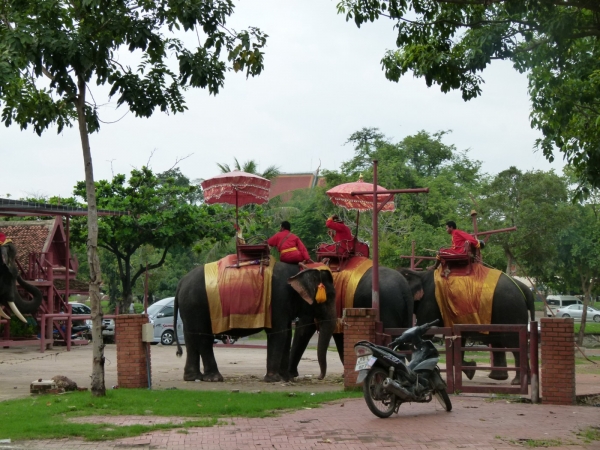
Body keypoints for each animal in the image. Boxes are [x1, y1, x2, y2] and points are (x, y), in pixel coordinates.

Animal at [175, 260, 338, 384]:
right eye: (330, 296)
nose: (319, 377)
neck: (298, 271)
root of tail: (181, 282)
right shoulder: (278, 298)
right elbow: (278, 333)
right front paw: (274, 380)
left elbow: (286, 334)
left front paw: (285, 379)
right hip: (198, 305)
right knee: (204, 338)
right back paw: (214, 378)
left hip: (189, 308)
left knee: (190, 337)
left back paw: (192, 378)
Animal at [398, 268, 536, 386]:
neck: (419, 274)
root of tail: (525, 289)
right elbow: (459, 338)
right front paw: (471, 370)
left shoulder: (429, 302)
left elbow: (425, 333)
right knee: (499, 341)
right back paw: (501, 378)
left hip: (510, 311)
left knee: (514, 343)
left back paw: (517, 382)